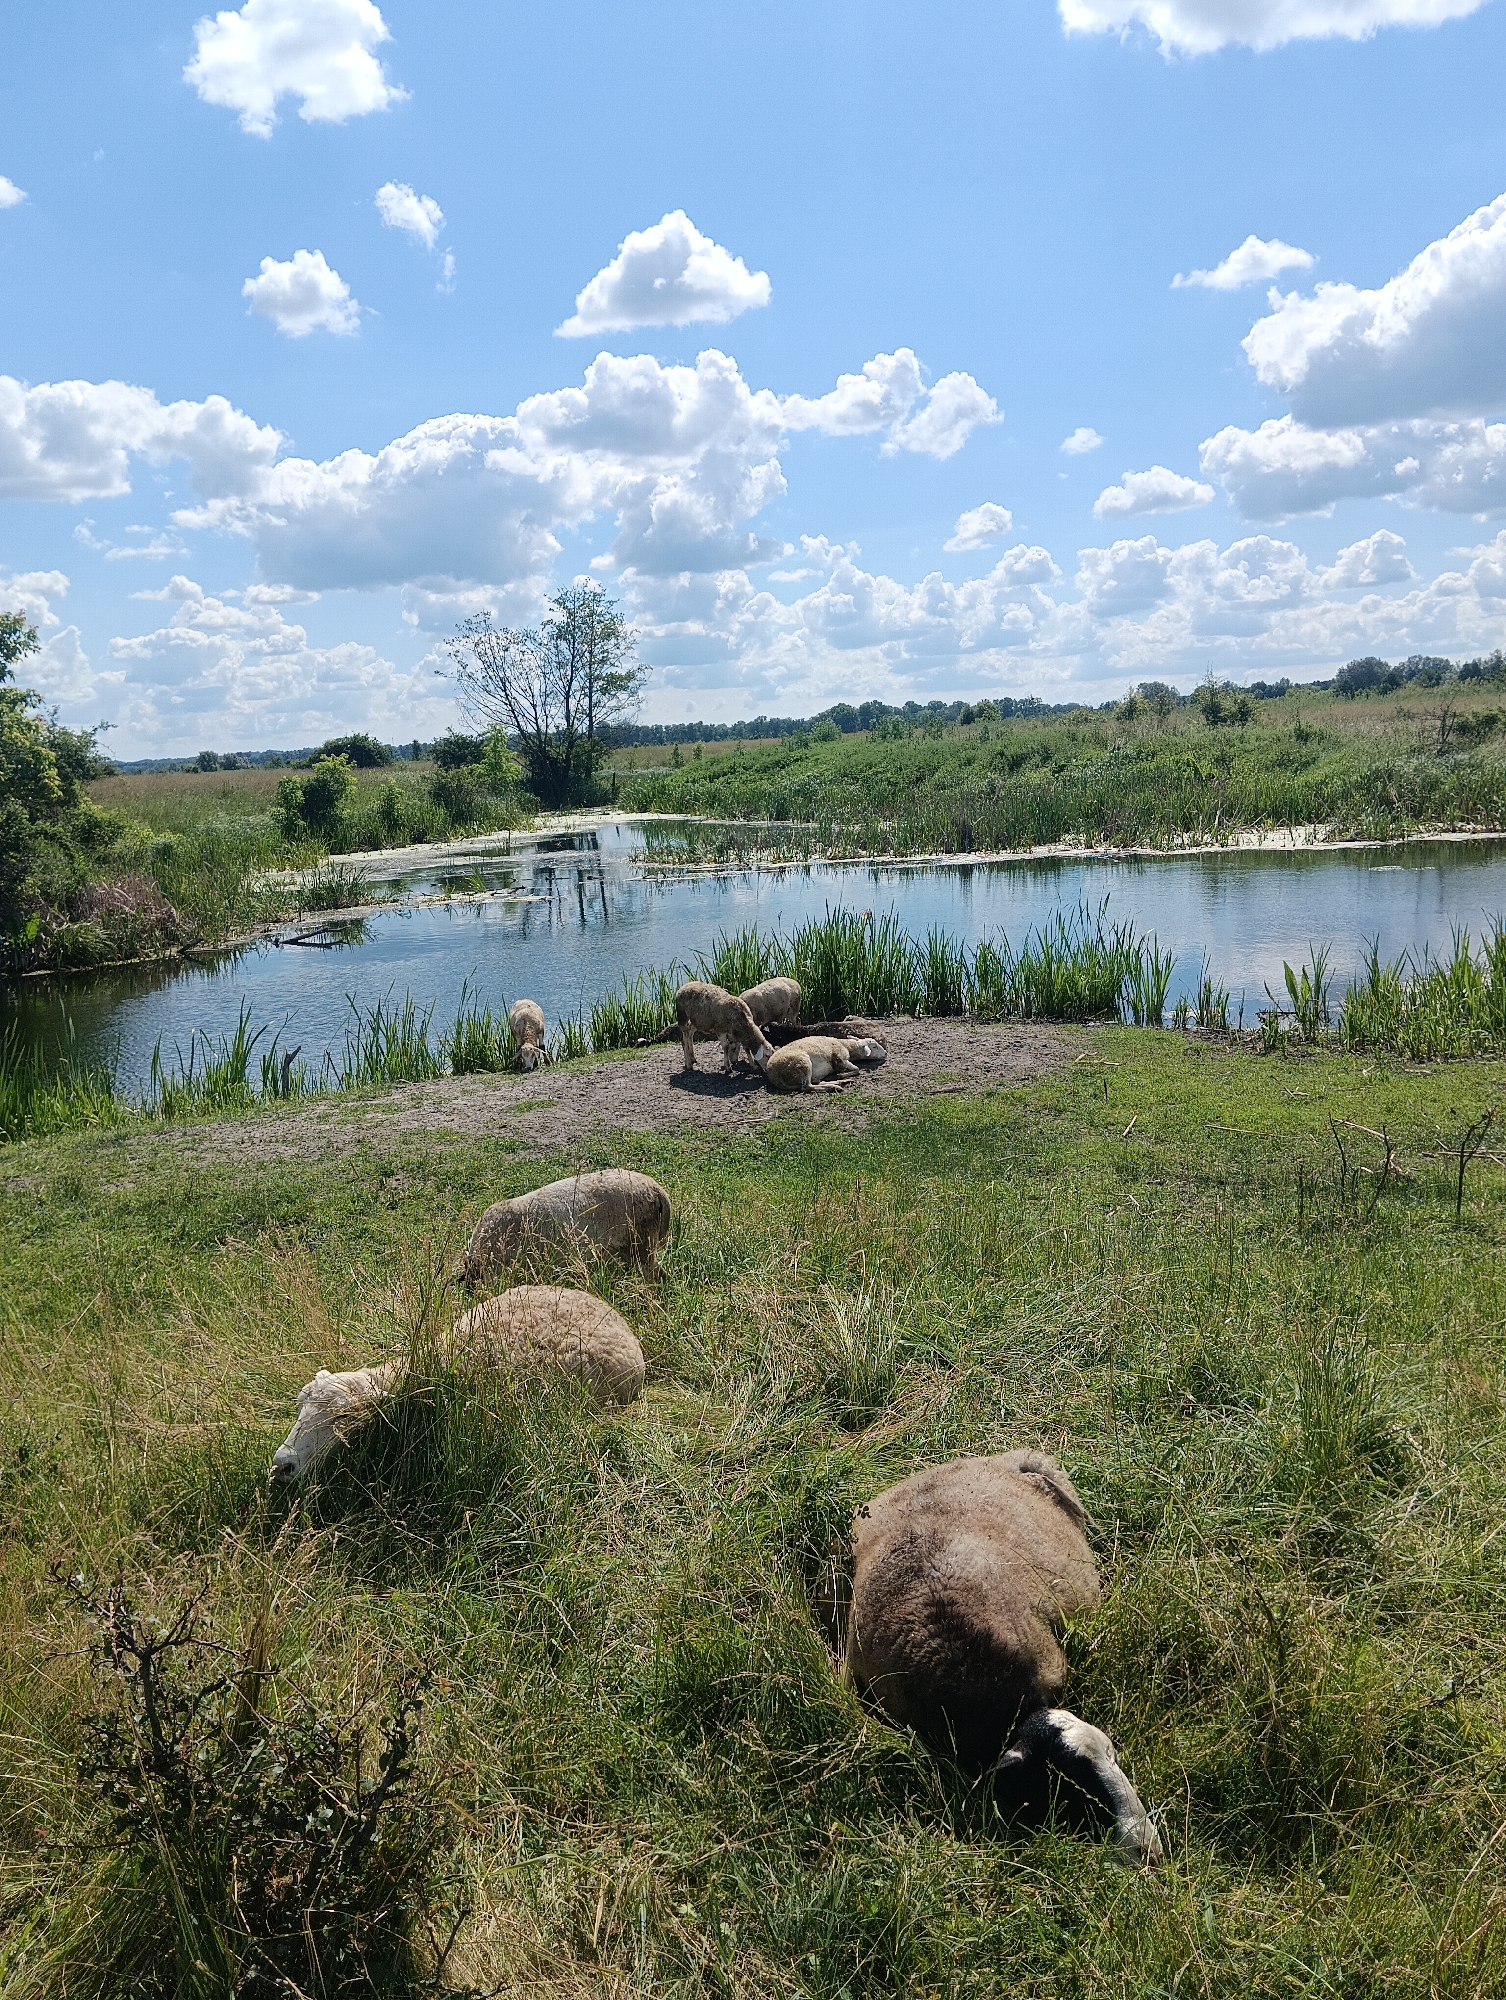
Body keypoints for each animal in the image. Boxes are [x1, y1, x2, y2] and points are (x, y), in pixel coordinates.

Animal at [757, 1034, 886, 1094]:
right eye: (874, 1046)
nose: (885, 1053)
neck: (847, 1046)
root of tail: (774, 1077)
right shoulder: (841, 1059)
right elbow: (857, 1069)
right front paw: (842, 1075)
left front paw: (841, 1076)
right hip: (803, 1063)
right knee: (807, 1086)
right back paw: (834, 1086)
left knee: (814, 1082)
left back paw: (839, 1082)